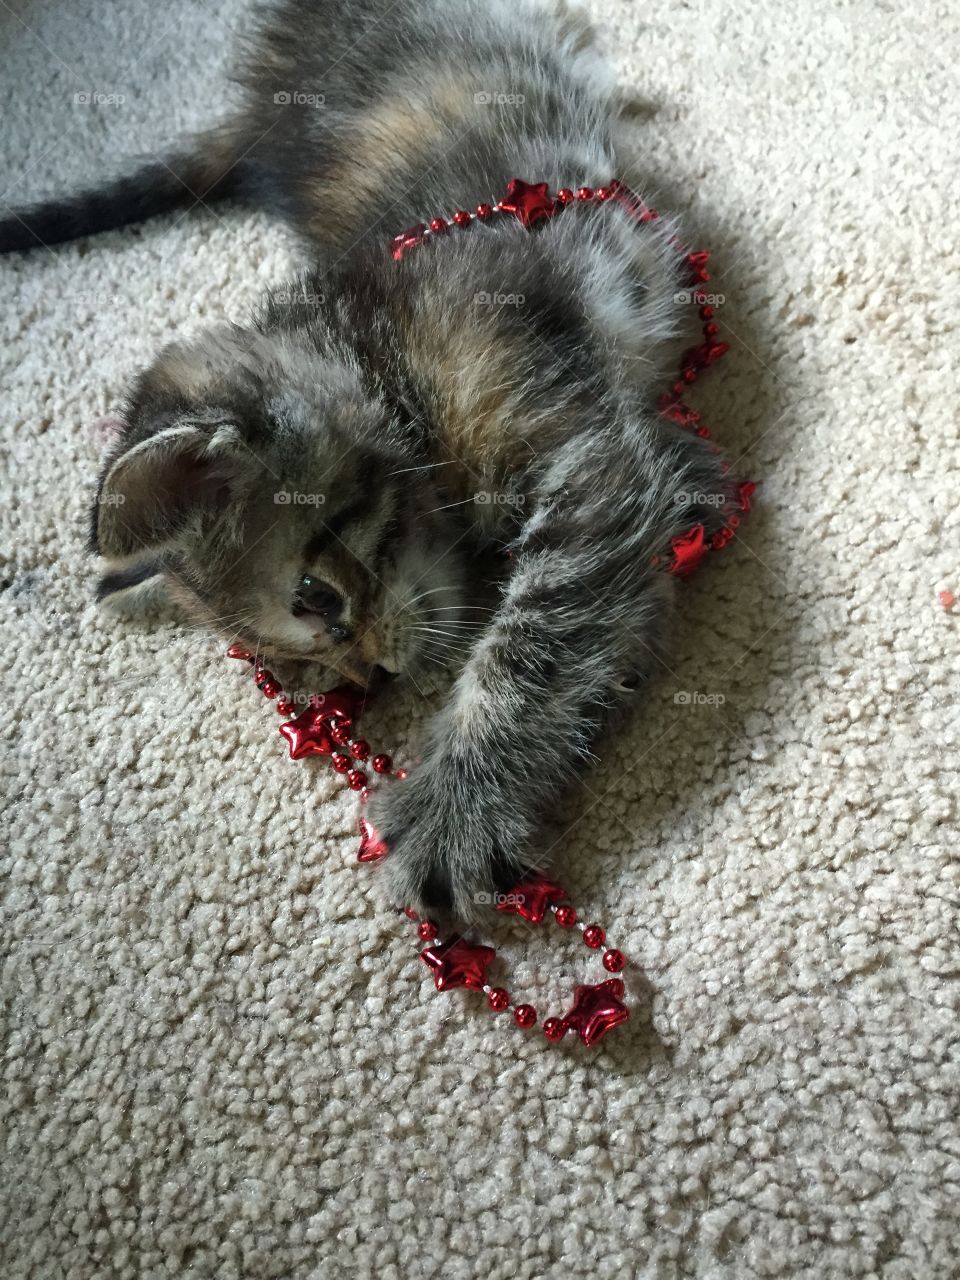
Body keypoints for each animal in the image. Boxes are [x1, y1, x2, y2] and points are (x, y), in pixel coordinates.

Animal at [0, 0, 742, 921]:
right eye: (306, 673)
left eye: (316, 598)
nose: (374, 675)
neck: (383, 359)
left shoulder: (589, 460)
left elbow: (535, 641)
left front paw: (458, 805)